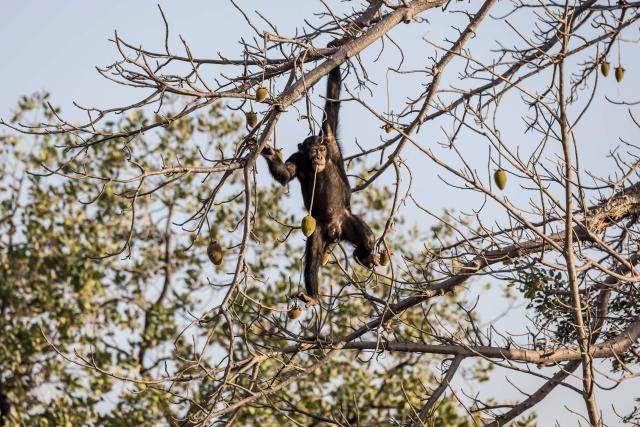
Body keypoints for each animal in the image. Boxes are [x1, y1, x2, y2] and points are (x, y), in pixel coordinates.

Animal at [261, 64, 379, 306]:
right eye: (313, 150)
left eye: (322, 149)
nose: (319, 156)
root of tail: (336, 231)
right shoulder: (297, 159)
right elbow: (286, 174)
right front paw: (268, 153)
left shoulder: (330, 136)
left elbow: (332, 100)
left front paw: (336, 59)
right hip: (319, 230)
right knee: (313, 256)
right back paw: (312, 295)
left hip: (349, 221)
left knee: (366, 237)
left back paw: (366, 257)